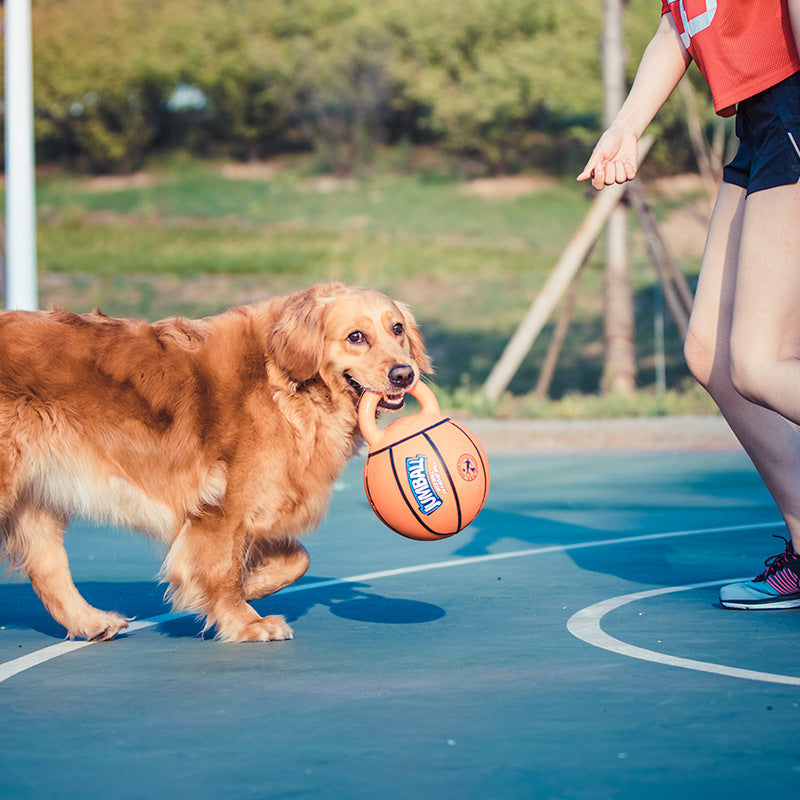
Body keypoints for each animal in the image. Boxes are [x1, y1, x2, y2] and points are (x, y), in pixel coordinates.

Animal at [0, 284, 432, 640]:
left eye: (397, 329)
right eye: (356, 336)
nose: (404, 374)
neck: (284, 385)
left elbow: (297, 560)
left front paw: (244, 585)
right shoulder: (223, 506)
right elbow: (222, 569)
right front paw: (244, 621)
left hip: (37, 495)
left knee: (48, 567)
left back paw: (90, 621)